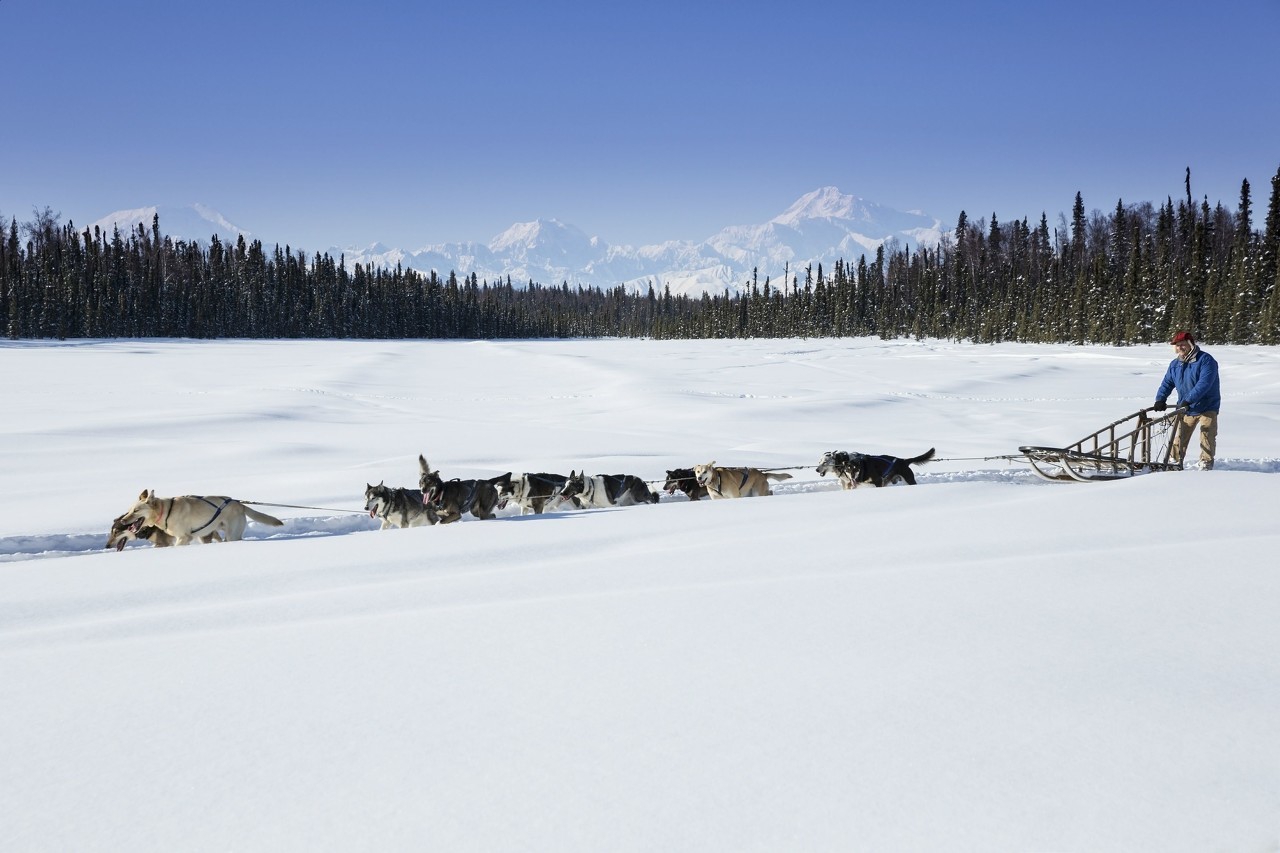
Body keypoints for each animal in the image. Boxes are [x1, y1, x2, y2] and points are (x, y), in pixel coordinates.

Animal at [116, 489, 284, 540]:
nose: (122, 521)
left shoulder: (184, 537)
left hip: (232, 534)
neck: (165, 510)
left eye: (136, 511)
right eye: (129, 510)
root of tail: (239, 503)